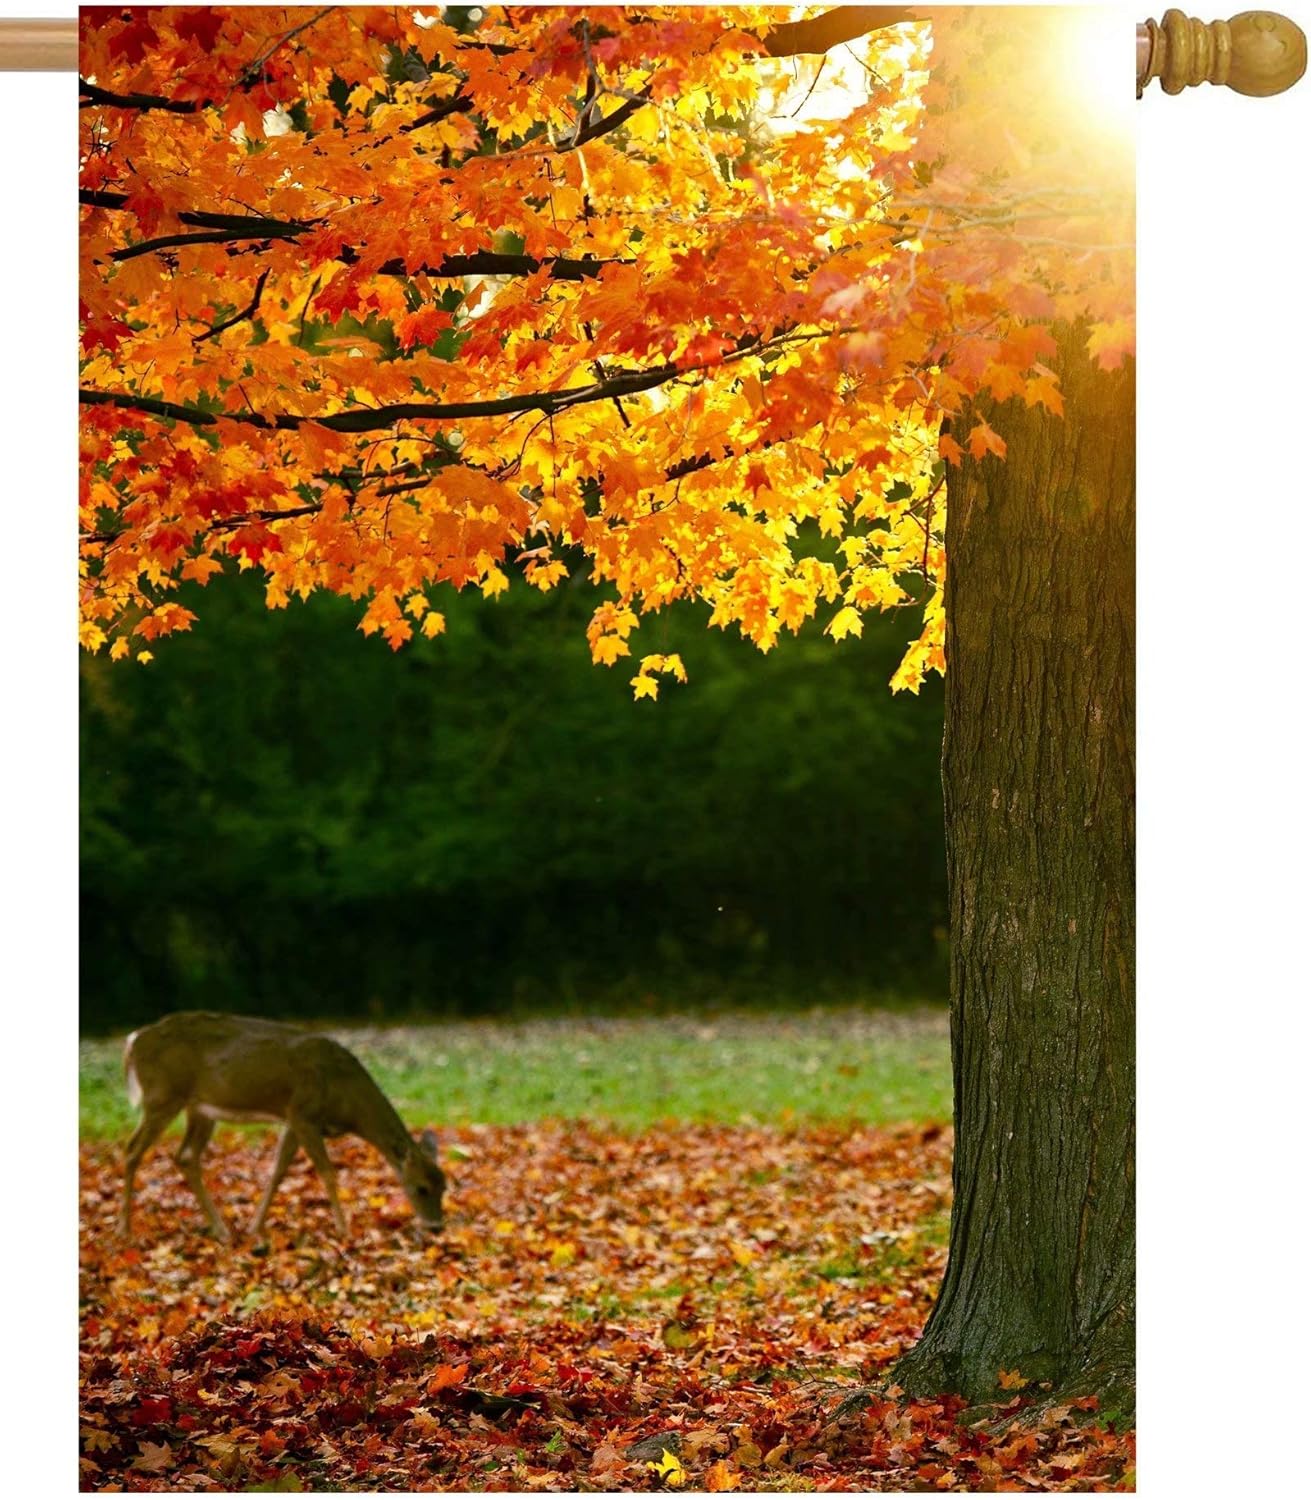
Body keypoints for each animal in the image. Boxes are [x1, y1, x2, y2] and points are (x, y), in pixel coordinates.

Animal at [119, 1011, 447, 1244]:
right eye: (421, 1188)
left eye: (444, 1186)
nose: (437, 1227)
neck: (345, 1098)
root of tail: (134, 1040)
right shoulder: (304, 1114)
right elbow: (328, 1173)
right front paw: (344, 1230)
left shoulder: (294, 1119)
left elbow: (278, 1171)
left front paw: (254, 1227)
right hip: (162, 1095)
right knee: (133, 1150)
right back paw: (125, 1230)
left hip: (199, 1108)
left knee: (186, 1156)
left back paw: (222, 1231)